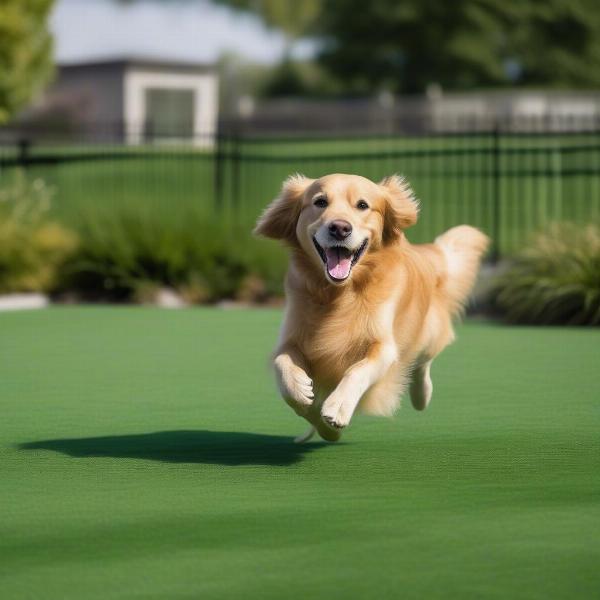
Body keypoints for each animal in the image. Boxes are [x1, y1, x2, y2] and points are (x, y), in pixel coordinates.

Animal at [253, 173, 488, 440]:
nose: (340, 228)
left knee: (422, 363)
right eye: (320, 202)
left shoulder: (383, 346)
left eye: (362, 205)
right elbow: (282, 363)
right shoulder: (292, 335)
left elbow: (358, 370)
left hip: (427, 334)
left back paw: (421, 395)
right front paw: (305, 399)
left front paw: (338, 407)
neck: (340, 293)